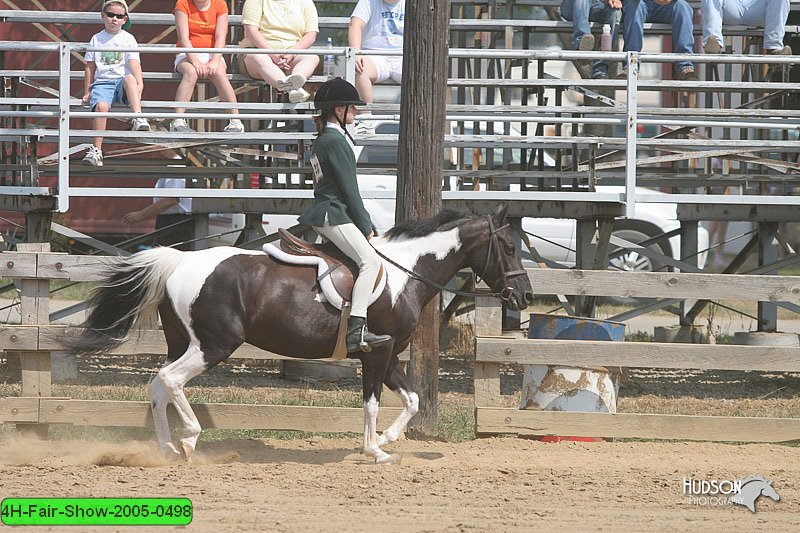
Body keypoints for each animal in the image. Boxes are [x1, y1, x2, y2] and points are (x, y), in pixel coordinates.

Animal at [65, 204, 536, 462]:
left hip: (184, 343)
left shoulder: (388, 357)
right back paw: (190, 439)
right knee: (170, 380)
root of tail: (180, 260)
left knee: (156, 386)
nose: (526, 295)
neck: (406, 273)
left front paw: (387, 439)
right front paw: (375, 450)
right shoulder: (376, 354)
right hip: (213, 346)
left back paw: (165, 449)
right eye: (511, 247)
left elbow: (413, 400)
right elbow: (371, 404)